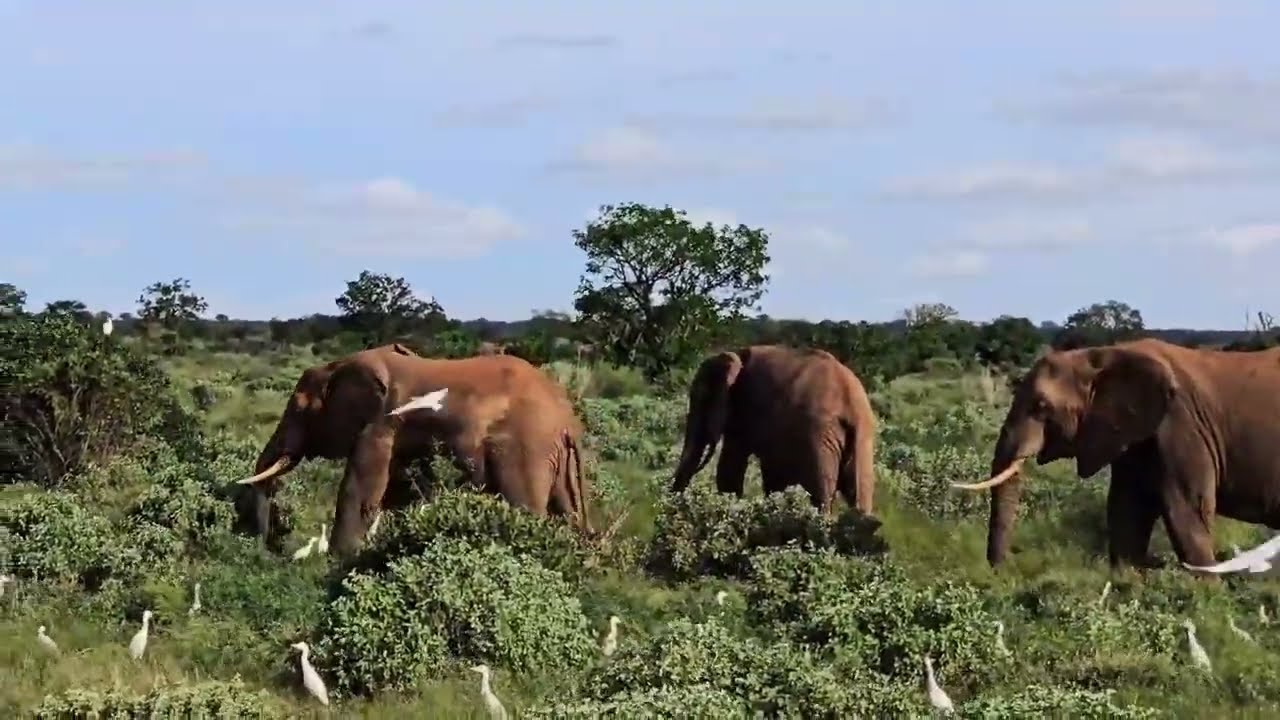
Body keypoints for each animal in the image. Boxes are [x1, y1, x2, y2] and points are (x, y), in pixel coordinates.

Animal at [315, 351, 591, 556]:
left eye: (306, 409)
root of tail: (566, 420)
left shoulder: (378, 427)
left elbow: (358, 493)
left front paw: (337, 562)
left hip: (525, 450)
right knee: (569, 511)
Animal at [669, 344, 878, 516]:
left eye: (702, 397)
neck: (735, 356)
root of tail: (851, 406)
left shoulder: (745, 407)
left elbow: (730, 467)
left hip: (819, 438)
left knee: (820, 497)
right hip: (861, 441)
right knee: (860, 499)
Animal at [952, 337, 1280, 572]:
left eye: (1041, 407)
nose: (1004, 569)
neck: (1101, 356)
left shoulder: (1182, 427)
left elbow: (1187, 510)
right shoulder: (1130, 438)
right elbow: (1126, 511)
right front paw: (1127, 584)